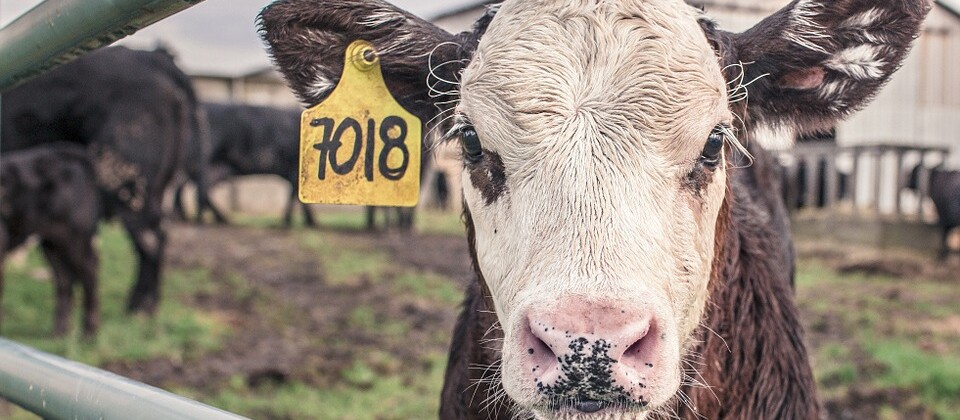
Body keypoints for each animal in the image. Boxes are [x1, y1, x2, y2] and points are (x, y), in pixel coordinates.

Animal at [0, 144, 101, 337]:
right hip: (52, 242)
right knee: (64, 278)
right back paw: (59, 332)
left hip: (75, 237)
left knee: (89, 270)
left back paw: (88, 333)